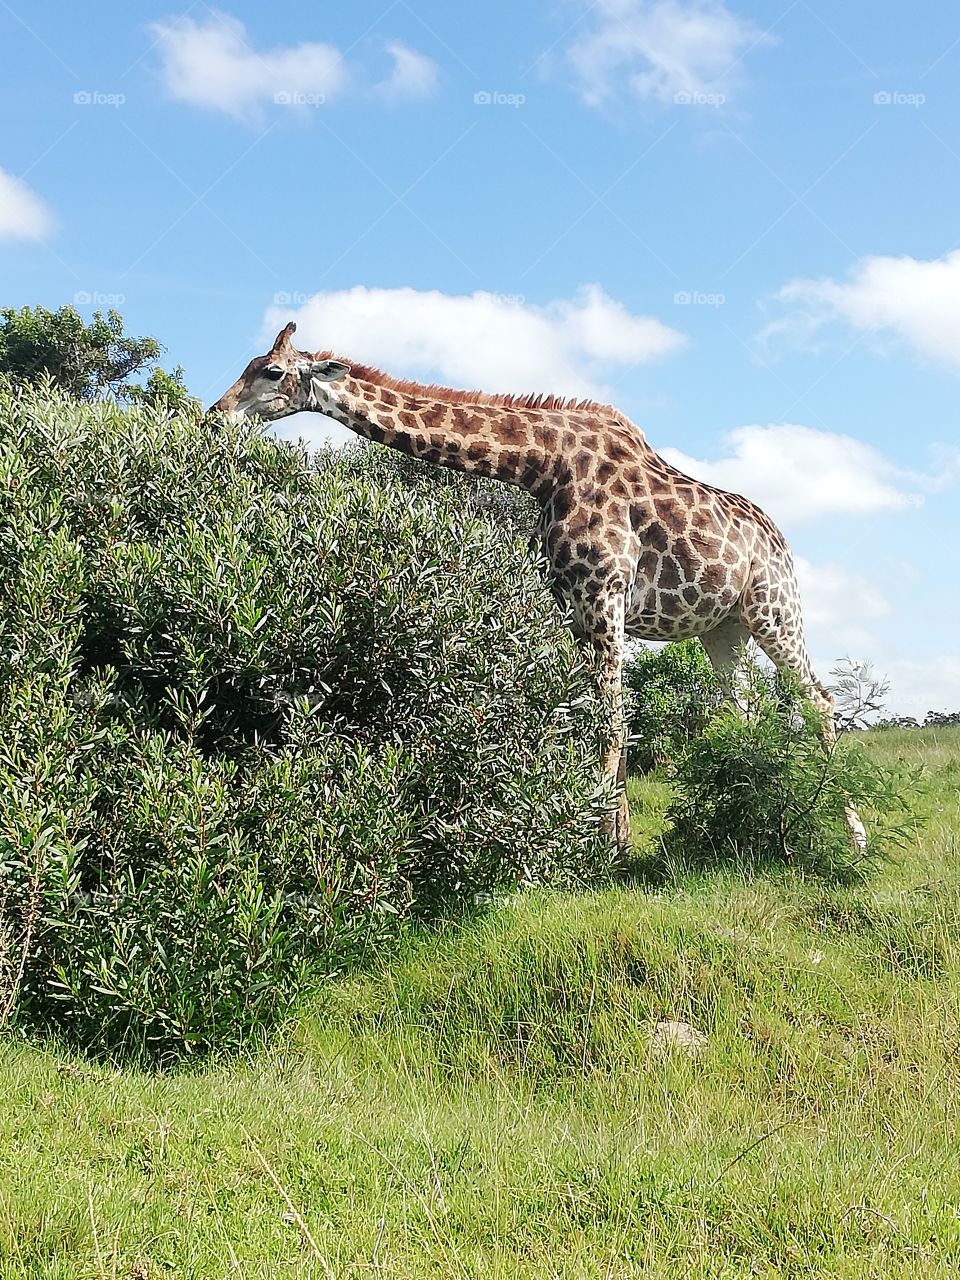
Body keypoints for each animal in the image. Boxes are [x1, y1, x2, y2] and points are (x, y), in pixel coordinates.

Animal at [209, 322, 867, 852]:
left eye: (271, 371)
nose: (215, 416)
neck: (543, 467)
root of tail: (781, 542)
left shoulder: (606, 594)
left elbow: (613, 718)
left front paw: (604, 848)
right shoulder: (572, 605)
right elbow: (590, 717)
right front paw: (603, 836)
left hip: (774, 611)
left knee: (818, 697)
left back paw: (850, 832)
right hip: (723, 627)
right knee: (745, 707)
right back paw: (750, 813)